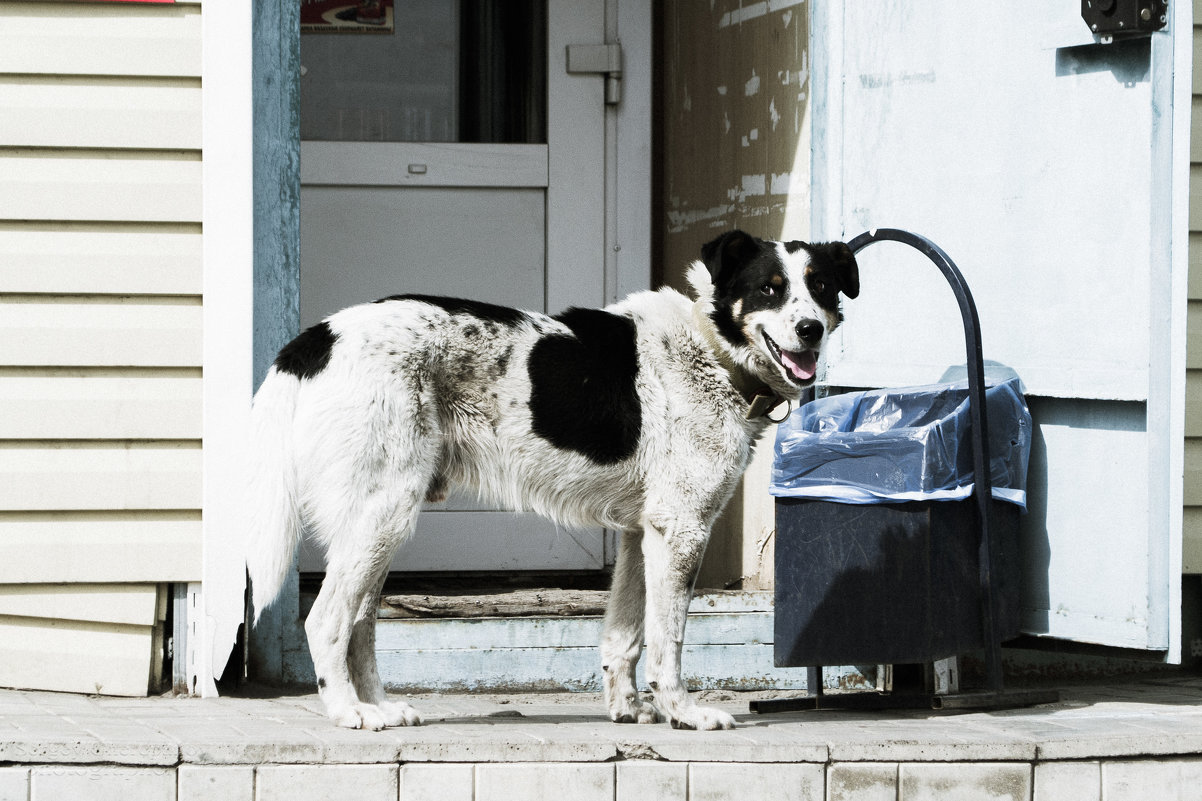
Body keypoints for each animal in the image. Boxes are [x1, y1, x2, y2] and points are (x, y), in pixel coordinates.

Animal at [248, 227, 860, 726]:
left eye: (822, 288)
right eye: (769, 290)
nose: (810, 329)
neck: (711, 349)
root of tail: (318, 337)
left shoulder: (641, 533)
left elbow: (624, 635)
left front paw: (628, 710)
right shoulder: (682, 529)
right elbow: (669, 639)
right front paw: (682, 712)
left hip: (378, 522)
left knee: (360, 624)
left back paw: (381, 707)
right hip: (383, 514)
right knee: (326, 620)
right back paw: (349, 712)